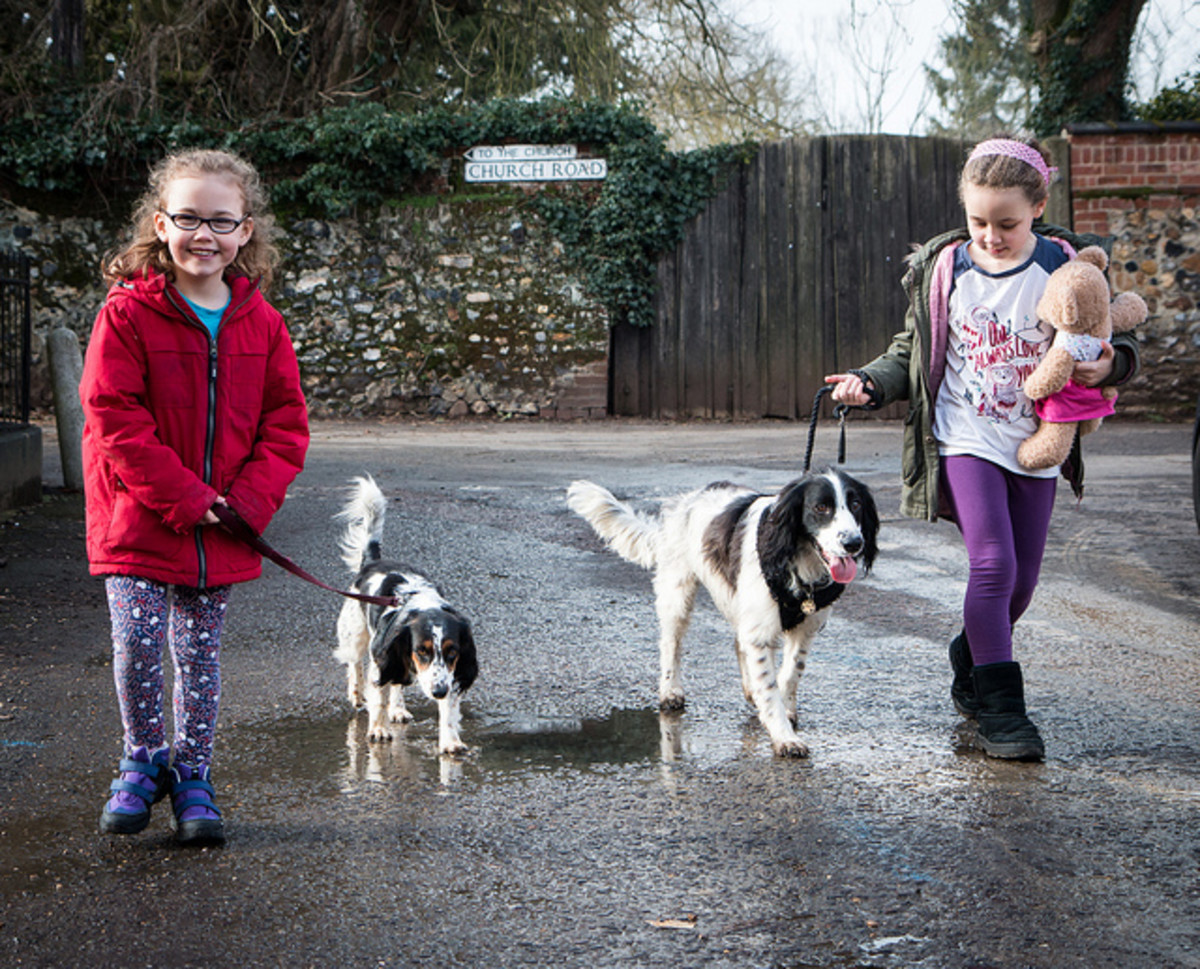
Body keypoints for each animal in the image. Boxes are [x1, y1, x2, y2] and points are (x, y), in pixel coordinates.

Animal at [333, 477, 477, 757]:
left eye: (453, 651)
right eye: (422, 650)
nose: (438, 691)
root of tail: (372, 562)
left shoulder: (450, 675)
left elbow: (448, 712)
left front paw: (450, 741)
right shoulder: (382, 659)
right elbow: (378, 697)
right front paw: (378, 729)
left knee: (398, 683)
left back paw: (398, 709)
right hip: (356, 636)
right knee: (354, 665)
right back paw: (356, 695)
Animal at [566, 470, 878, 757]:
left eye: (856, 504)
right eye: (821, 507)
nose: (854, 543)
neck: (795, 557)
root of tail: (686, 501)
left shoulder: (803, 629)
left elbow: (789, 674)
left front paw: (785, 711)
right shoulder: (761, 626)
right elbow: (770, 687)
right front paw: (784, 736)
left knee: (738, 642)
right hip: (678, 595)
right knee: (671, 644)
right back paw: (670, 690)